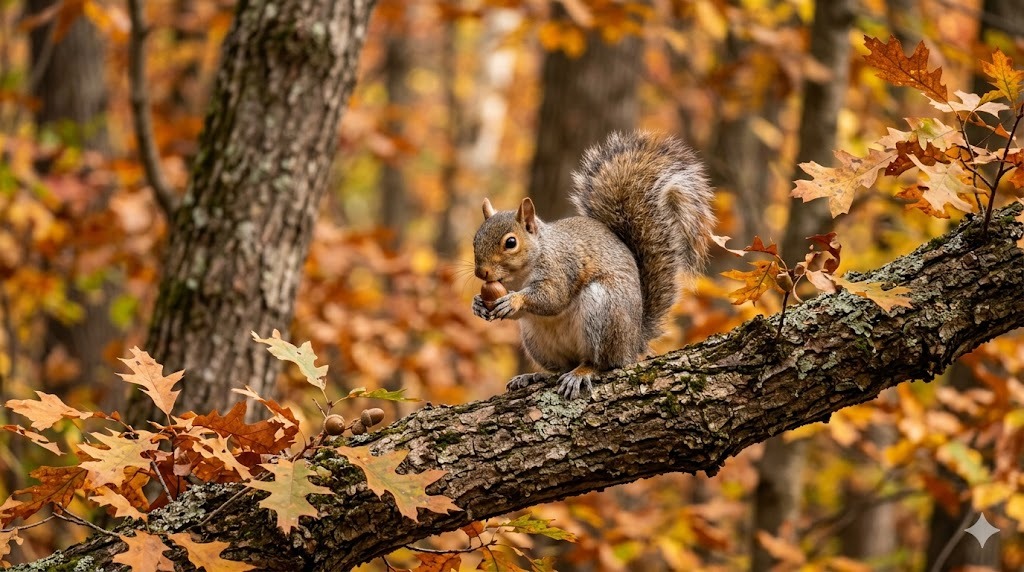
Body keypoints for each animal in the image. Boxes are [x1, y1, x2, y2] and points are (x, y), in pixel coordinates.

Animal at [471, 131, 716, 399]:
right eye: (475, 239)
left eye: (511, 242)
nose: (481, 272)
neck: (520, 273)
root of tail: (633, 344)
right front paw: (478, 304)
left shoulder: (562, 266)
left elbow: (553, 297)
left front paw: (515, 300)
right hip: (535, 338)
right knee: (561, 366)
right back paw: (534, 376)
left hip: (603, 311)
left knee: (602, 363)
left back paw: (582, 372)